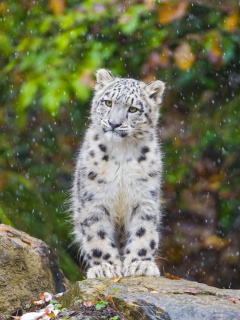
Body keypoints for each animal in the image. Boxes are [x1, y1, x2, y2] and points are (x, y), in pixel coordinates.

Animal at [71, 69, 165, 278]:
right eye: (108, 102)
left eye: (133, 109)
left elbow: (143, 231)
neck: (122, 152)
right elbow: (97, 234)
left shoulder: (144, 198)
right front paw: (104, 267)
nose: (114, 123)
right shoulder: (94, 200)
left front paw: (140, 264)